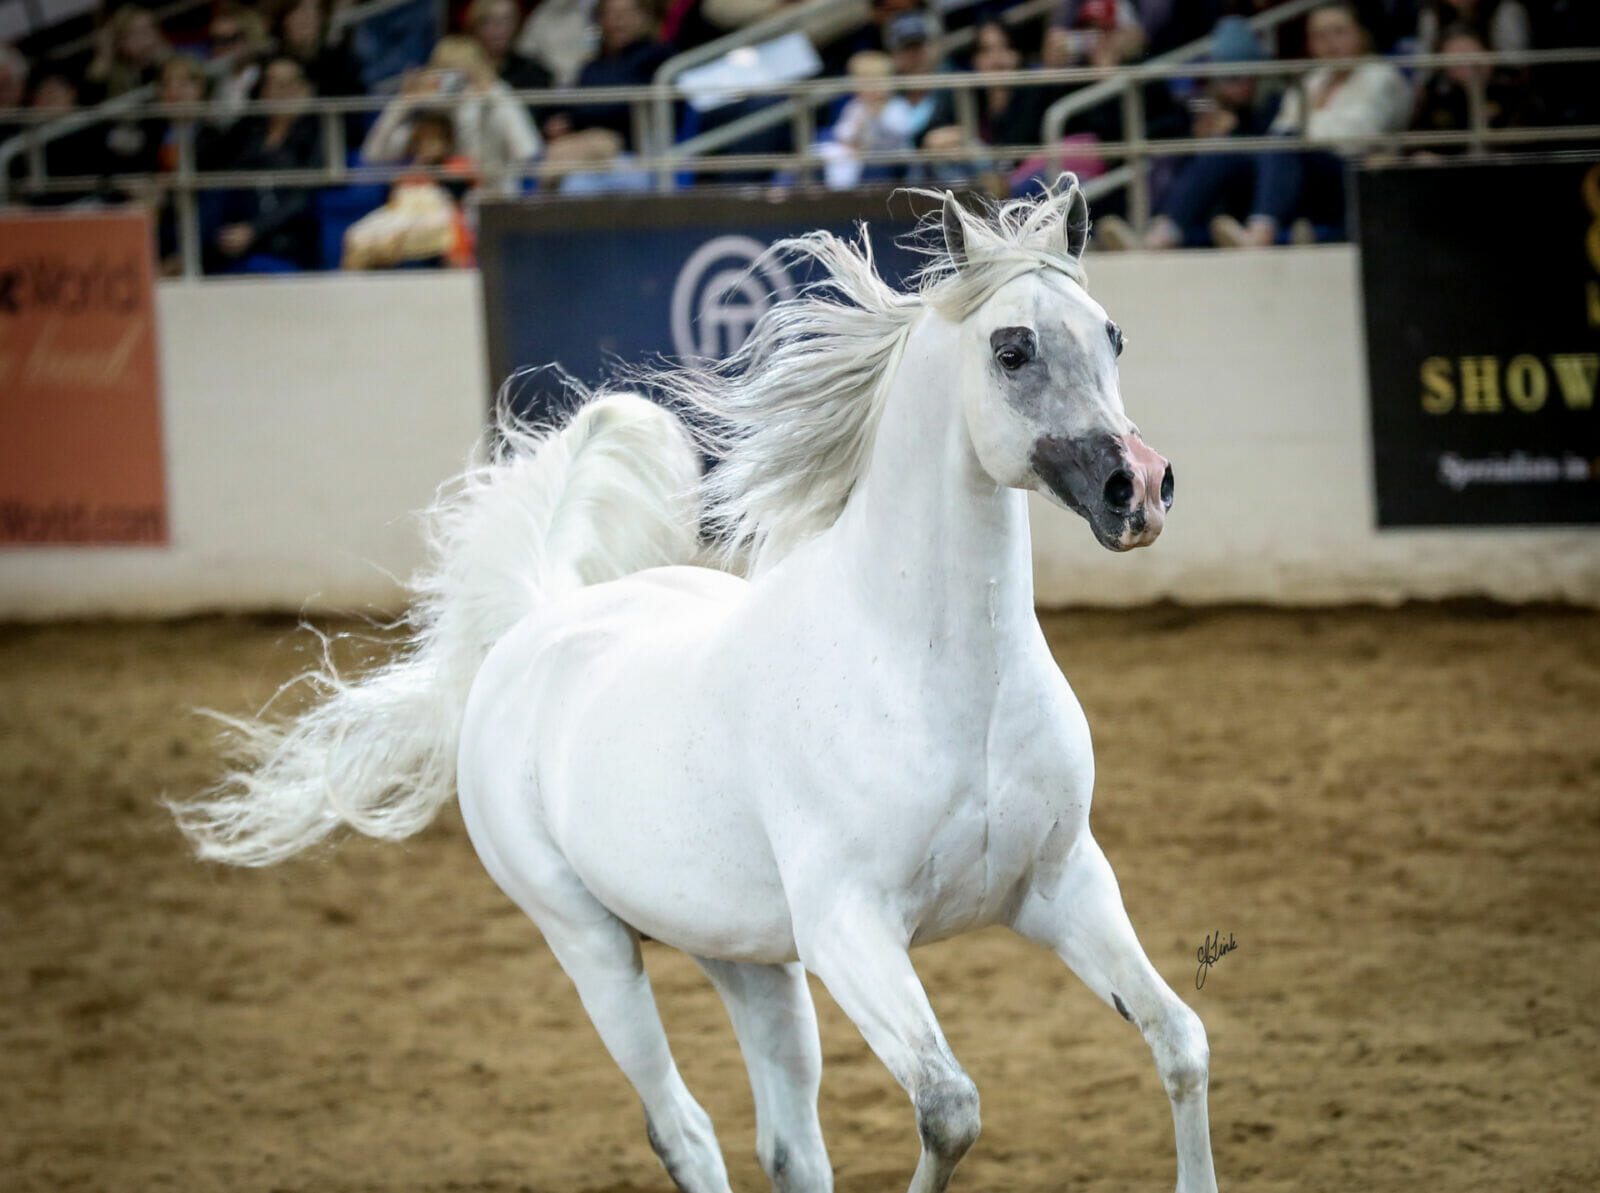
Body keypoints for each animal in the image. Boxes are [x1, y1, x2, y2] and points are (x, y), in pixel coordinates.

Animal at [172, 183, 1209, 1189]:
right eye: (1011, 347)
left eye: (1112, 335)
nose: (1139, 489)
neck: (935, 678)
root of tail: (535, 625)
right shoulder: (850, 930)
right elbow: (950, 1108)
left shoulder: (1062, 884)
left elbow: (1180, 1041)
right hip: (589, 945)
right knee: (685, 1130)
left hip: (743, 956)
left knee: (789, 1147)